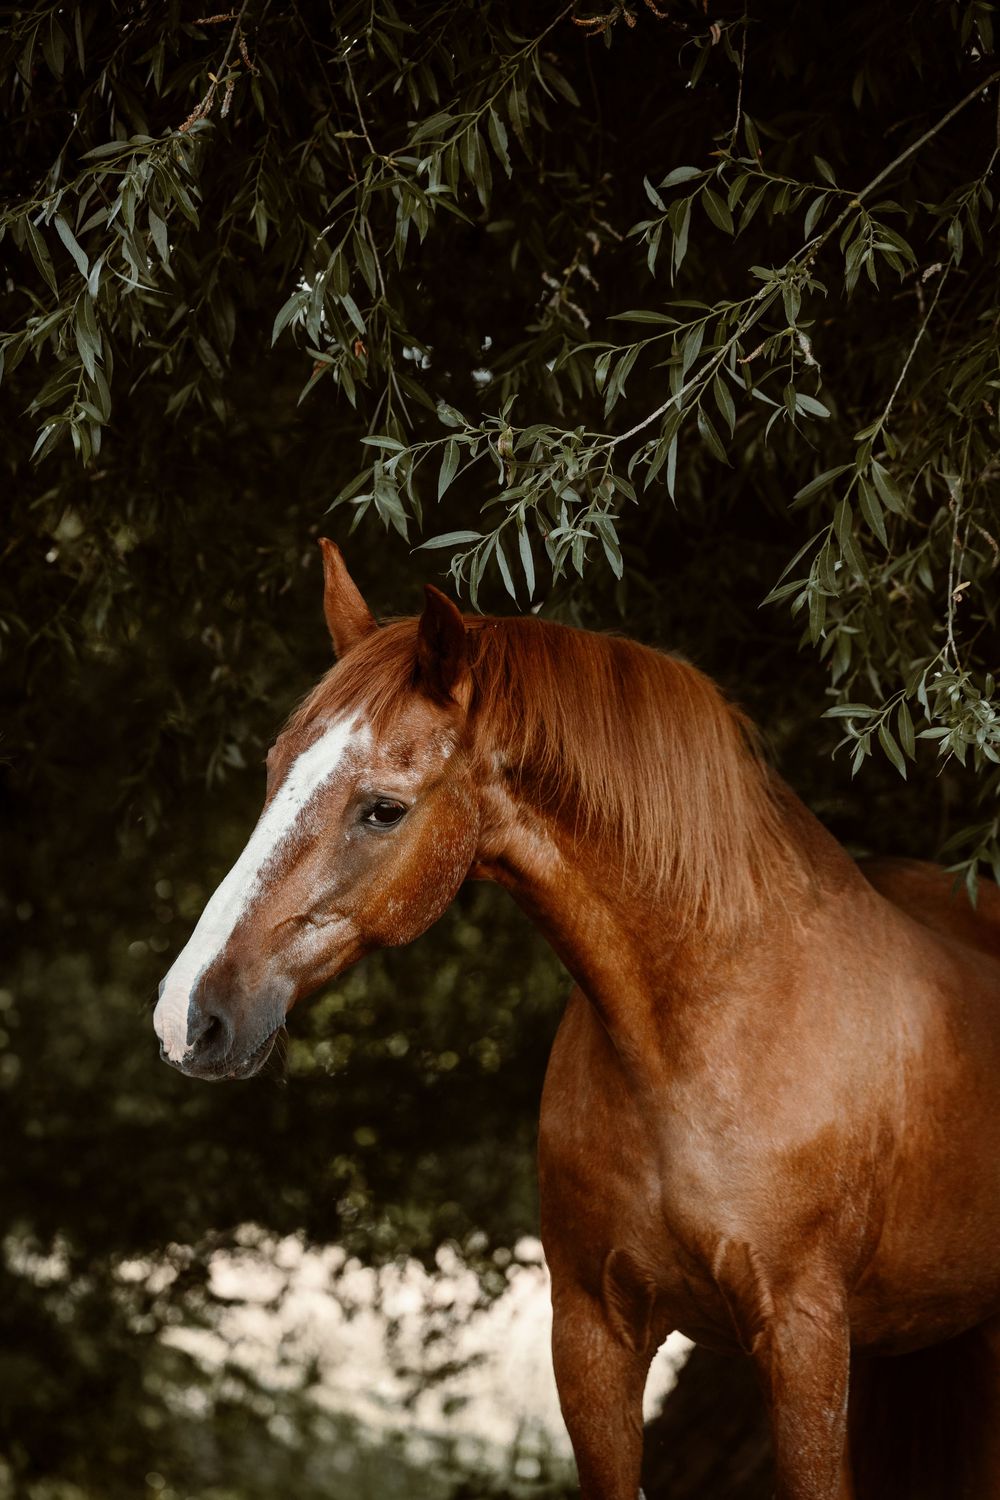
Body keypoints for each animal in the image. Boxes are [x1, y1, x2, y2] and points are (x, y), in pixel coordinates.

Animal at [153, 540, 1000, 1500]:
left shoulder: (804, 1338)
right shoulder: (591, 1337)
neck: (703, 1029)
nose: (188, 1017)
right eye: (272, 770)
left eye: (383, 808)